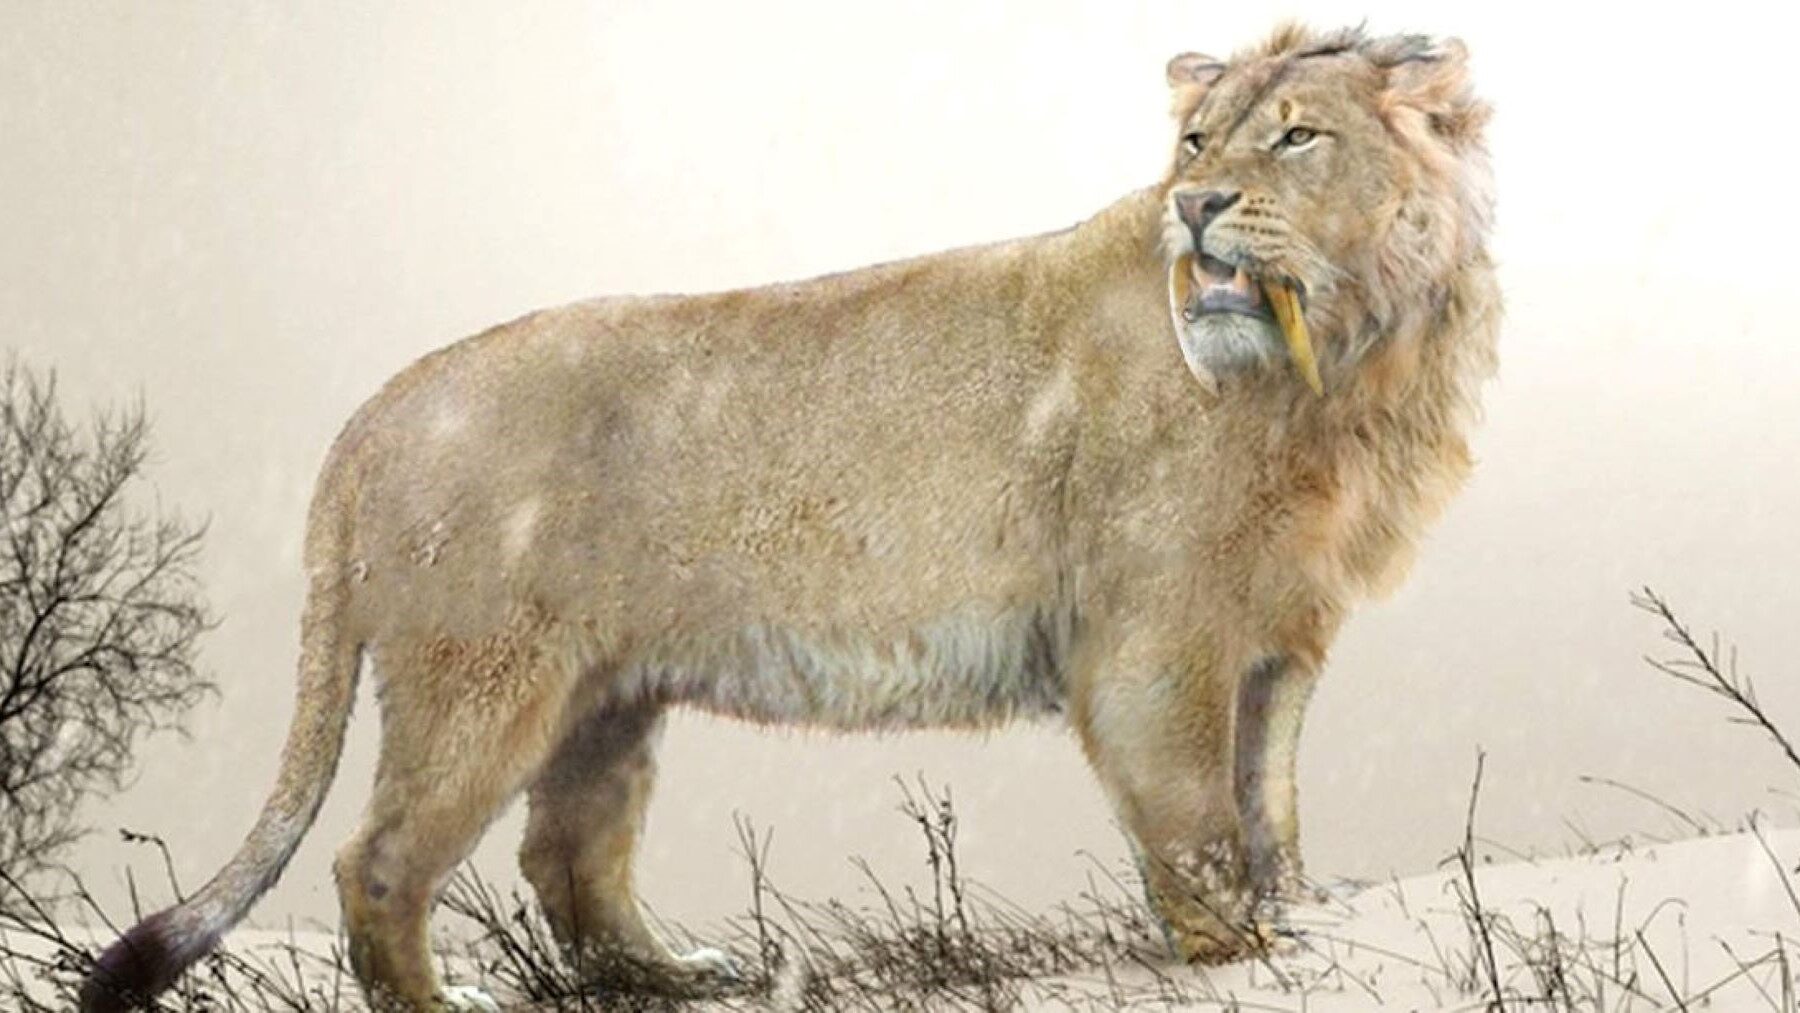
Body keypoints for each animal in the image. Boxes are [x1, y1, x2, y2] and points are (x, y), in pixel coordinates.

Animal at [83, 22, 1497, 1011]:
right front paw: (1228, 948)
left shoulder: (1284, 635)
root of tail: (375, 409)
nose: (1192, 210)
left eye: (1297, 139)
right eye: (1197, 144)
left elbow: (1273, 797)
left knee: (569, 860)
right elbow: (1198, 812)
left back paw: (681, 975)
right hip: (479, 679)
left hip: (605, 694)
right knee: (379, 861)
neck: (1342, 370)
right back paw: (446, 999)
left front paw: (1293, 916)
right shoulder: (1157, 635)